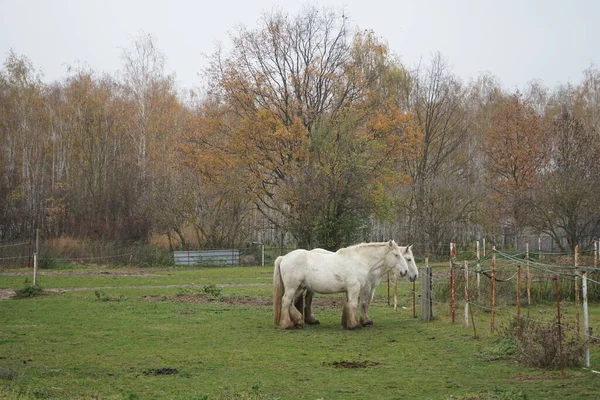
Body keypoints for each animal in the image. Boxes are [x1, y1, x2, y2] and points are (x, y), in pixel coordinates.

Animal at [272, 241, 408, 328]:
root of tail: (283, 257)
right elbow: (353, 305)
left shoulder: (350, 290)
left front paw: (347, 323)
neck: (359, 260)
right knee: (285, 301)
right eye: (396, 255)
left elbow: (348, 305)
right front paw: (354, 325)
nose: (405, 271)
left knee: (290, 303)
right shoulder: (354, 288)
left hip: (298, 288)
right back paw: (287, 324)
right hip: (292, 287)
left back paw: (298, 322)